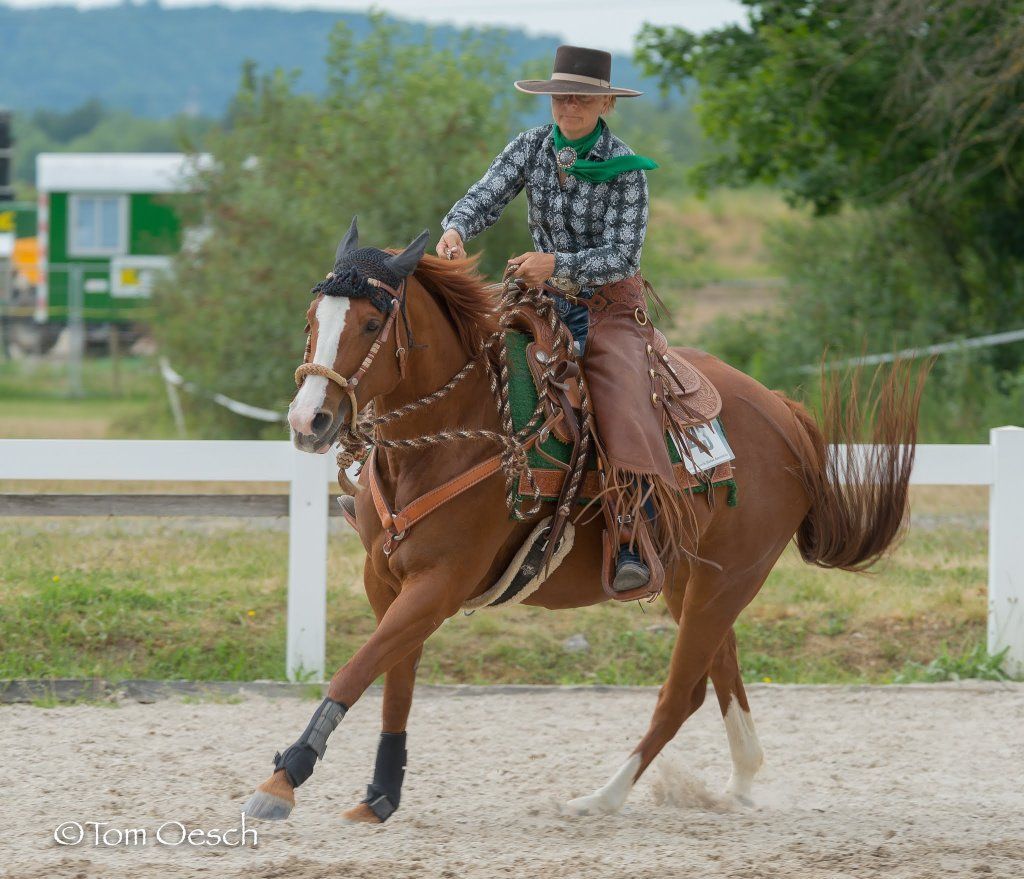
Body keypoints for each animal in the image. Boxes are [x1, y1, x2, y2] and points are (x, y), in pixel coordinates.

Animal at [242, 223, 923, 824]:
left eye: (370, 323)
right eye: (313, 321)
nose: (308, 421)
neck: (460, 434)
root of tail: (783, 414)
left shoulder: (438, 586)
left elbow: (358, 669)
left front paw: (283, 778)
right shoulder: (386, 581)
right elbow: (395, 681)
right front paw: (381, 792)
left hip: (729, 581)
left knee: (679, 695)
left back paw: (600, 799)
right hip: (694, 581)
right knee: (717, 676)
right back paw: (740, 785)